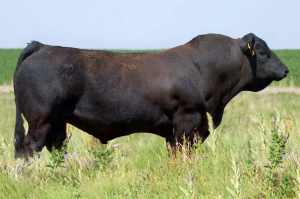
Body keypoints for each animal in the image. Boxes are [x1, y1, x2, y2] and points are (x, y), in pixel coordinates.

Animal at [12, 33, 288, 159]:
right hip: (40, 120)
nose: (286, 69)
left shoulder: (184, 128)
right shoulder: (186, 121)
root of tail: (42, 46)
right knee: (28, 149)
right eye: (263, 52)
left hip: (58, 122)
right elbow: (182, 154)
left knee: (56, 148)